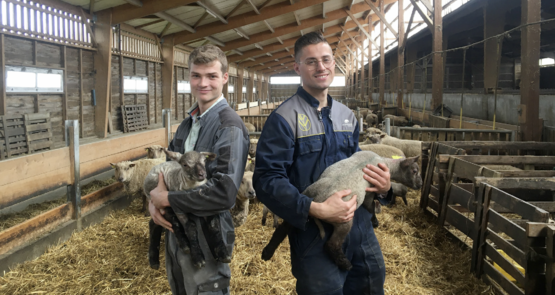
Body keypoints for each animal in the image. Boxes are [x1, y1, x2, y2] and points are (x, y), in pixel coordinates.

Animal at [262, 151, 422, 272]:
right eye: (415, 171)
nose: (420, 185)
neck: (384, 162)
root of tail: (316, 200)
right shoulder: (370, 190)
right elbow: (370, 206)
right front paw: (375, 221)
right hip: (343, 220)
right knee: (331, 244)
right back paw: (345, 264)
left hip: (302, 203)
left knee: (284, 226)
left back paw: (267, 252)